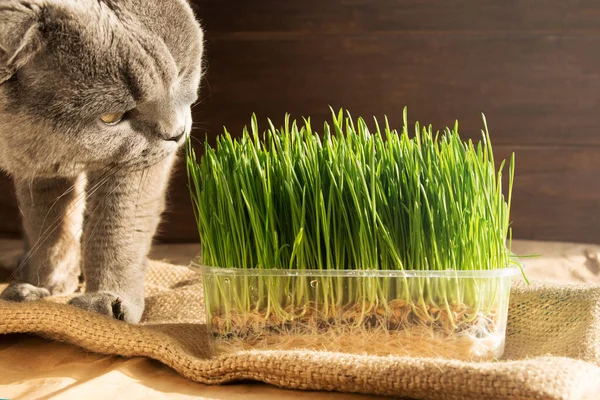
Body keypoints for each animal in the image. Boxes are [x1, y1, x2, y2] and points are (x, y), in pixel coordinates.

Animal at [0, 0, 204, 324]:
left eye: (178, 77)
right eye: (110, 117)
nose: (176, 132)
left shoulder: (132, 166)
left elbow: (117, 224)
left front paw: (107, 301)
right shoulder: (40, 162)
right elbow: (46, 221)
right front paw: (43, 289)